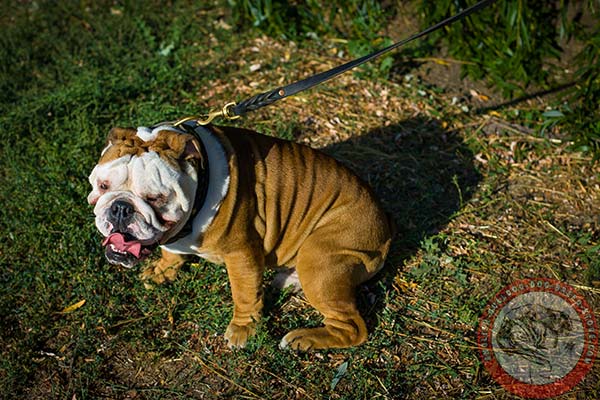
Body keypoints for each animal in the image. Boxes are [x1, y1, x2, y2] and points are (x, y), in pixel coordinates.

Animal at [86, 122, 392, 350]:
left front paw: (243, 329)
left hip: (320, 260)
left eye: (155, 198)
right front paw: (162, 270)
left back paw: (303, 339)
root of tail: (386, 229)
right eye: (103, 186)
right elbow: (170, 252)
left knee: (353, 328)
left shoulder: (240, 253)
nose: (121, 208)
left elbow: (244, 293)